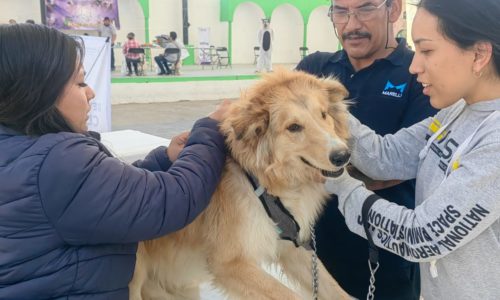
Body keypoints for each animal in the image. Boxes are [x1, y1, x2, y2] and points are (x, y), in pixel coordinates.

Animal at [131, 68, 354, 300]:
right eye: (293, 127)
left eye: (323, 115)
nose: (342, 155)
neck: (265, 181)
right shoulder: (230, 263)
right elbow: (289, 295)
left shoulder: (291, 248)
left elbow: (335, 289)